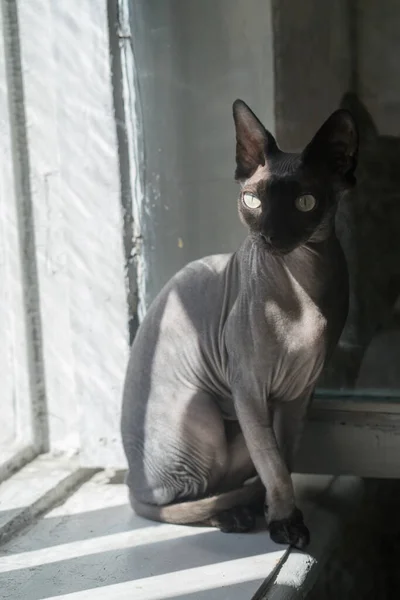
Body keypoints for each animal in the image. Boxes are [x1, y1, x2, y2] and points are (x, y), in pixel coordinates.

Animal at [120, 99, 358, 548]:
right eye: (252, 201)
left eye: (304, 202)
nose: (269, 235)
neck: (303, 287)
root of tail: (129, 479)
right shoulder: (249, 387)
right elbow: (274, 465)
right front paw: (285, 523)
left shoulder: (299, 393)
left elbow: (283, 459)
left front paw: (278, 513)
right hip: (205, 415)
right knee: (179, 500)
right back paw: (230, 515)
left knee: (221, 484)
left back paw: (242, 508)